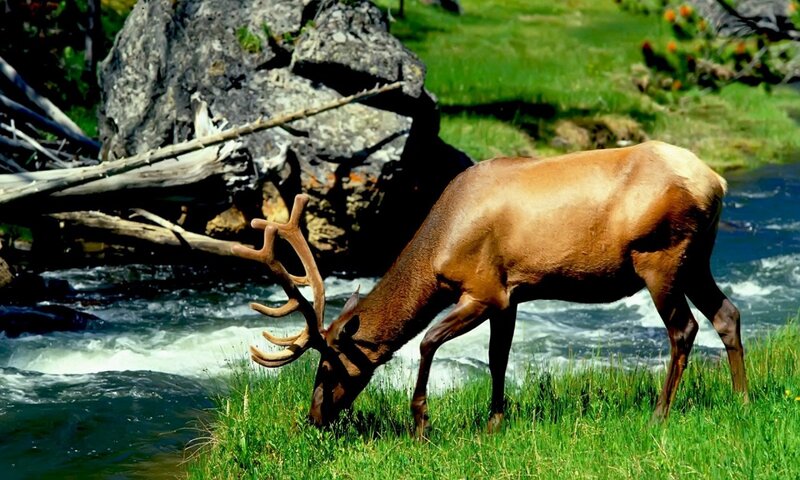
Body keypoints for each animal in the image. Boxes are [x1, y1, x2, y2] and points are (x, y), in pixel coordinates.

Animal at [231, 140, 748, 439]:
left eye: (328, 366)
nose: (314, 418)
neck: (439, 248)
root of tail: (717, 181)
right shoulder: (512, 293)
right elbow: (499, 357)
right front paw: (494, 421)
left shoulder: (483, 290)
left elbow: (427, 342)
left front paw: (421, 424)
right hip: (695, 259)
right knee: (727, 314)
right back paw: (743, 399)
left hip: (661, 256)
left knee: (683, 329)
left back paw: (659, 414)